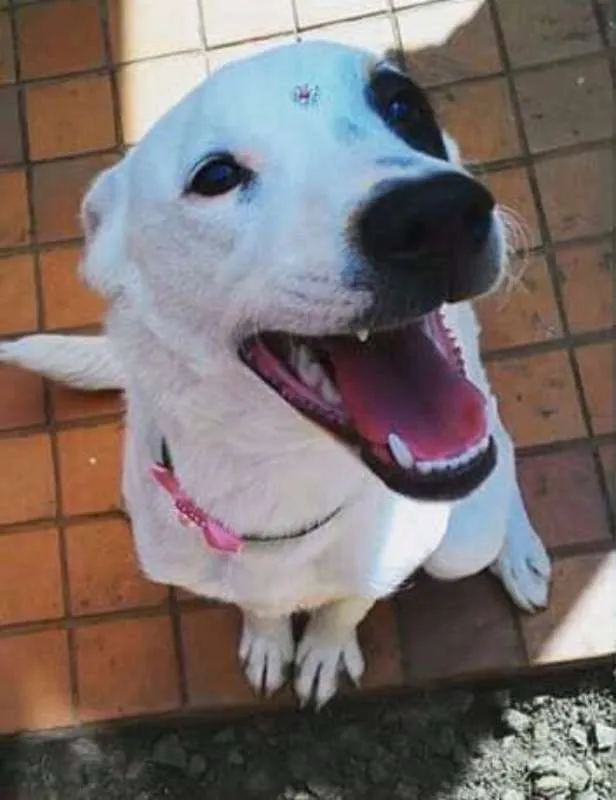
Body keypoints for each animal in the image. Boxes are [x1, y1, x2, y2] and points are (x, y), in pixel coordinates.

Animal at [1, 41, 551, 707]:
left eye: (403, 104)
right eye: (215, 176)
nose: (437, 213)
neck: (281, 487)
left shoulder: (384, 567)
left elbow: (346, 607)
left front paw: (323, 649)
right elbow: (260, 607)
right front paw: (269, 640)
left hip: (463, 537)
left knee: (502, 453)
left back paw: (518, 549)